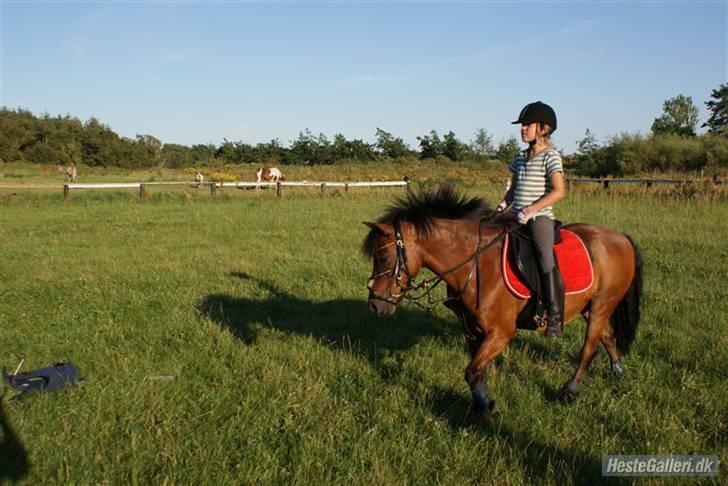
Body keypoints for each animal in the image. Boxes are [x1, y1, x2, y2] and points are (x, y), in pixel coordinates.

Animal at [362, 186, 640, 414]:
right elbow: (476, 373)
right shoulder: (471, 331)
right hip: (590, 306)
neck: (476, 264)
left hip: (603, 303)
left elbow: (471, 371)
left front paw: (488, 408)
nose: (375, 304)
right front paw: (482, 404)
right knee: (607, 336)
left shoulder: (501, 332)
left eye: (383, 257)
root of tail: (621, 237)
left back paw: (570, 389)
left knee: (589, 347)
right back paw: (619, 372)